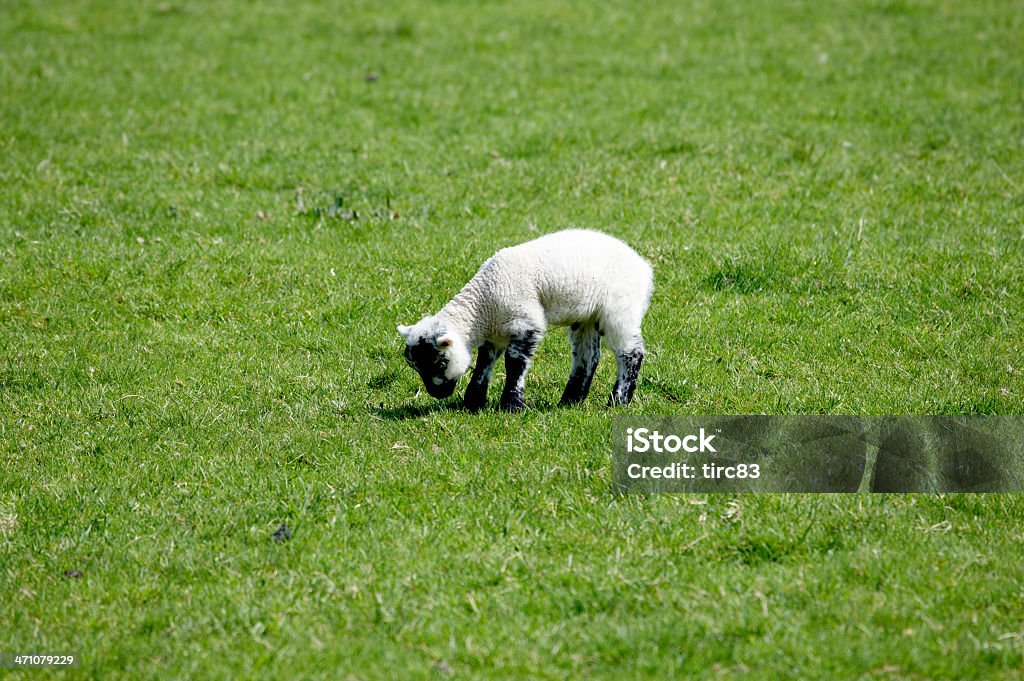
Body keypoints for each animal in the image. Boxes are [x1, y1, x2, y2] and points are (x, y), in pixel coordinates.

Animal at [395, 228, 651, 411]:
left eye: (439, 363)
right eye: (415, 367)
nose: (436, 394)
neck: (483, 305)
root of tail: (644, 269)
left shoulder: (525, 322)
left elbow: (514, 362)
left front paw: (512, 405)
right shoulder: (496, 333)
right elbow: (484, 361)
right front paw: (473, 402)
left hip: (621, 310)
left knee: (630, 353)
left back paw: (617, 402)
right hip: (587, 316)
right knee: (587, 357)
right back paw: (569, 401)